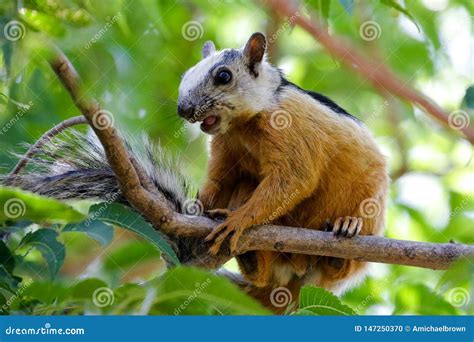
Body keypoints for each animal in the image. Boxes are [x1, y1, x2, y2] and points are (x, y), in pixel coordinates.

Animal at [2, 33, 388, 314]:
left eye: (223, 76)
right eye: (186, 75)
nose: (183, 109)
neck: (245, 125)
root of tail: (294, 286)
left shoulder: (293, 133)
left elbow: (293, 179)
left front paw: (238, 220)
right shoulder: (225, 154)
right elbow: (217, 182)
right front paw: (199, 210)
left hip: (366, 214)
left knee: (340, 265)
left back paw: (346, 229)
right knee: (263, 271)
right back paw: (251, 259)